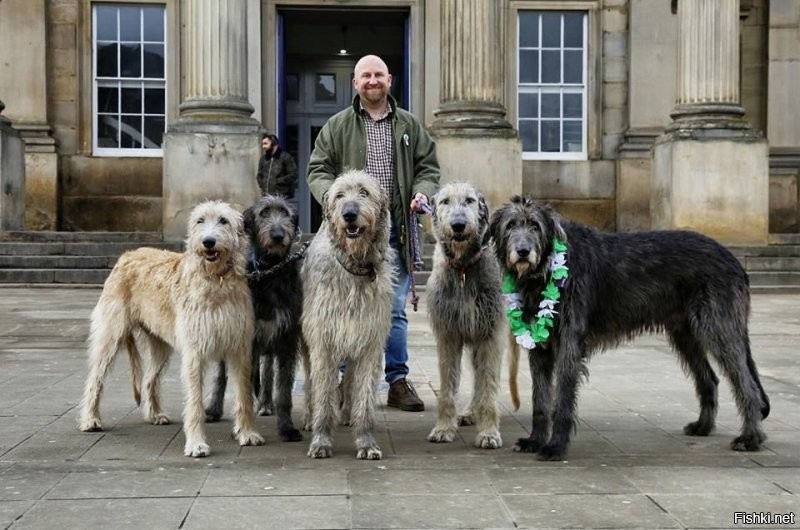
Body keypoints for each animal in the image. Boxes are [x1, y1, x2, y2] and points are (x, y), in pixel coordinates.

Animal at [205, 194, 304, 442]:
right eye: (263, 213)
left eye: (286, 213)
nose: (278, 235)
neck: (270, 272)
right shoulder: (246, 341)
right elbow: (244, 387)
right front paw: (244, 428)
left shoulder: (287, 338)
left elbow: (284, 390)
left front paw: (287, 427)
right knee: (221, 376)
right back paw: (213, 409)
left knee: (267, 371)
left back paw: (267, 403)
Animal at [302, 169, 396, 458]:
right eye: (339, 195)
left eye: (364, 192)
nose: (350, 214)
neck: (354, 268)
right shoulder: (322, 341)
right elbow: (323, 393)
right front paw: (321, 440)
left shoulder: (369, 341)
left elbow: (364, 396)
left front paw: (366, 441)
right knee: (310, 383)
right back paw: (309, 418)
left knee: (350, 379)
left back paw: (345, 415)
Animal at [490, 196, 772, 460]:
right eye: (511, 225)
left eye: (535, 226)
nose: (523, 251)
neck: (546, 268)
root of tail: (734, 260)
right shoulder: (540, 349)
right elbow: (540, 398)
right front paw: (535, 440)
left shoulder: (569, 343)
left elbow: (563, 399)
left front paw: (556, 446)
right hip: (685, 334)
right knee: (709, 379)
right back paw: (703, 426)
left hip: (719, 328)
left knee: (747, 385)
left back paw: (750, 438)